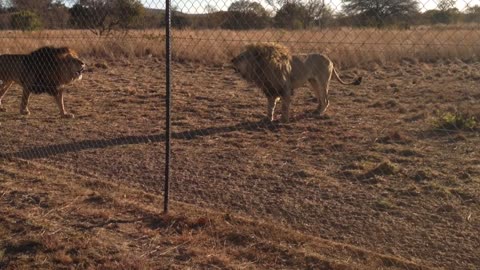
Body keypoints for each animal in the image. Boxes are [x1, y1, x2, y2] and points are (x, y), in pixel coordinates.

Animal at [231, 42, 362, 122]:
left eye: (241, 57)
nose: (232, 60)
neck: (261, 67)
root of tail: (330, 60)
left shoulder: (285, 88)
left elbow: (284, 106)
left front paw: (284, 120)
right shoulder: (270, 89)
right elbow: (270, 106)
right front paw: (269, 119)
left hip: (323, 82)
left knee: (326, 99)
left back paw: (320, 113)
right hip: (313, 82)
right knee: (320, 98)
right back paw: (316, 111)